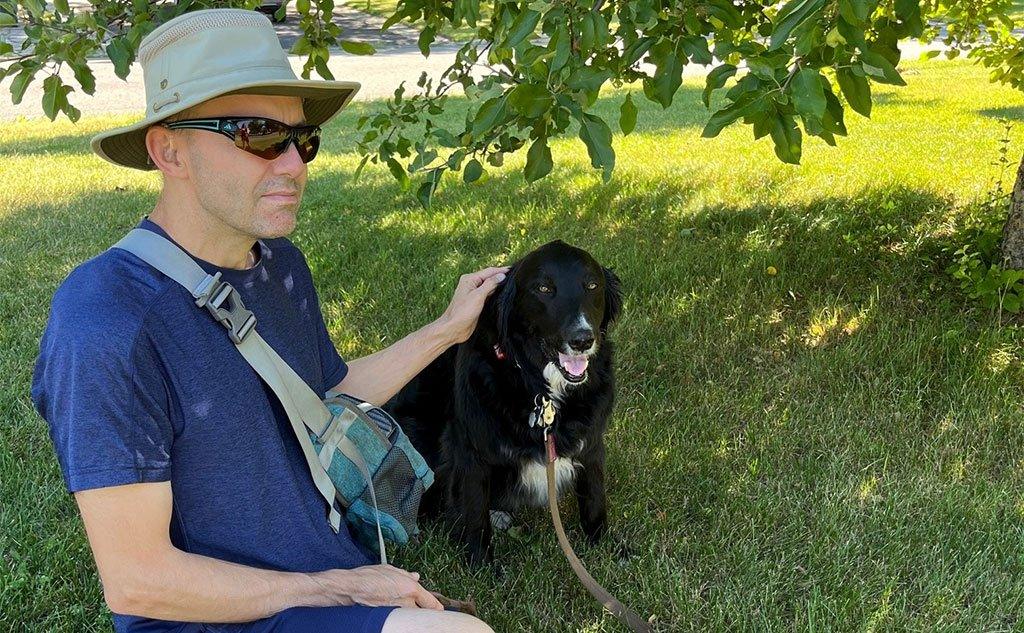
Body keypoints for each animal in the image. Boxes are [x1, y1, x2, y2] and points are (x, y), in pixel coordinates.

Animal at [385, 240, 622, 561]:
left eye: (592, 285)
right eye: (544, 288)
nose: (582, 339)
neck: (541, 390)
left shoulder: (591, 442)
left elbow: (594, 496)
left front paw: (607, 546)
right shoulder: (468, 449)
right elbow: (474, 513)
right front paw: (481, 563)